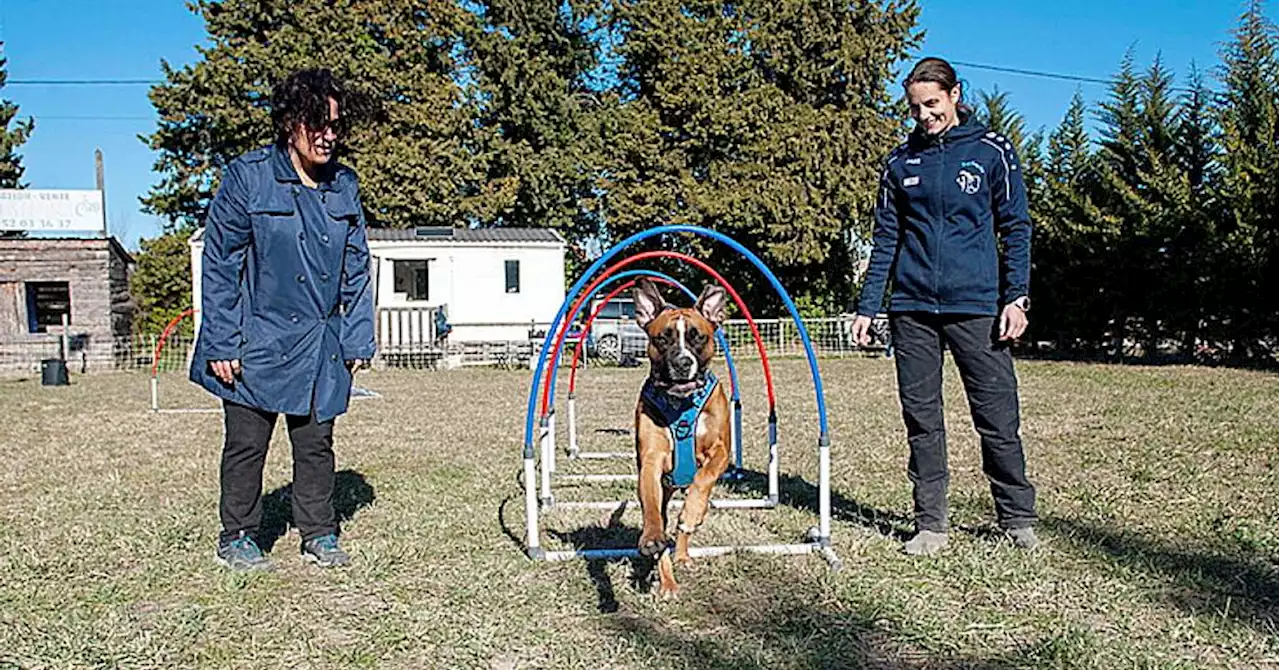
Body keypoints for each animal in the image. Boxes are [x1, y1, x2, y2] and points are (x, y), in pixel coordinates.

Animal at [629, 277, 732, 596]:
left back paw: (684, 550)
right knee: (664, 527)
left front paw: (693, 512)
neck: (681, 405)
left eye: (699, 337)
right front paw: (651, 538)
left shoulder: (722, 451)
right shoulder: (652, 461)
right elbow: (652, 511)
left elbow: (704, 478)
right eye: (663, 339)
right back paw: (667, 582)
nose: (682, 362)